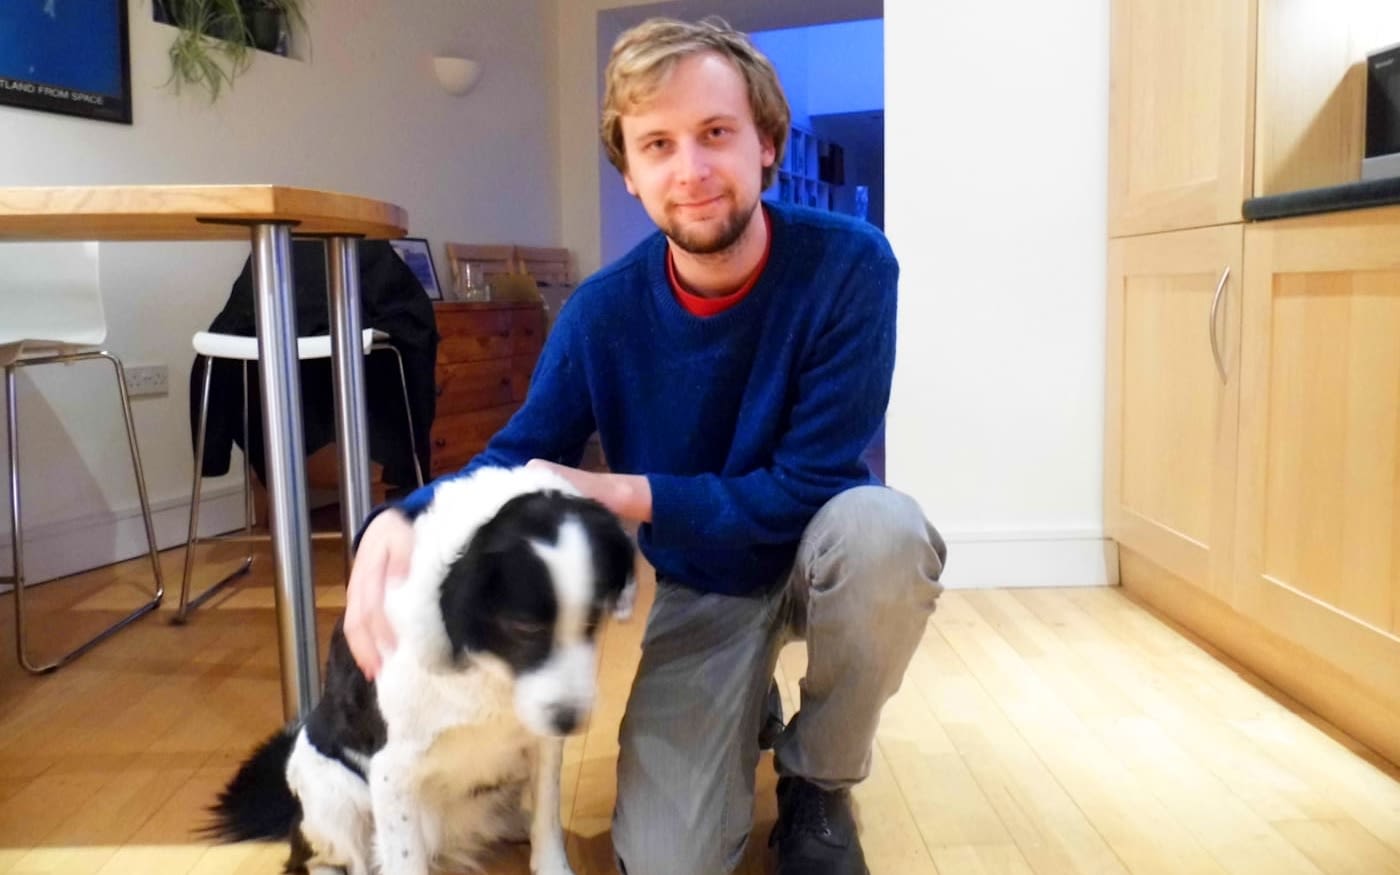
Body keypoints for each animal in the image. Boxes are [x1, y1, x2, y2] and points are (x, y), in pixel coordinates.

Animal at [205, 467, 635, 873]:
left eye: (593, 619)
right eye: (524, 627)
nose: (570, 721)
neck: (490, 668)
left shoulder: (542, 745)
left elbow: (547, 824)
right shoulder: (392, 771)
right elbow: (405, 860)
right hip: (332, 799)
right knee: (321, 858)